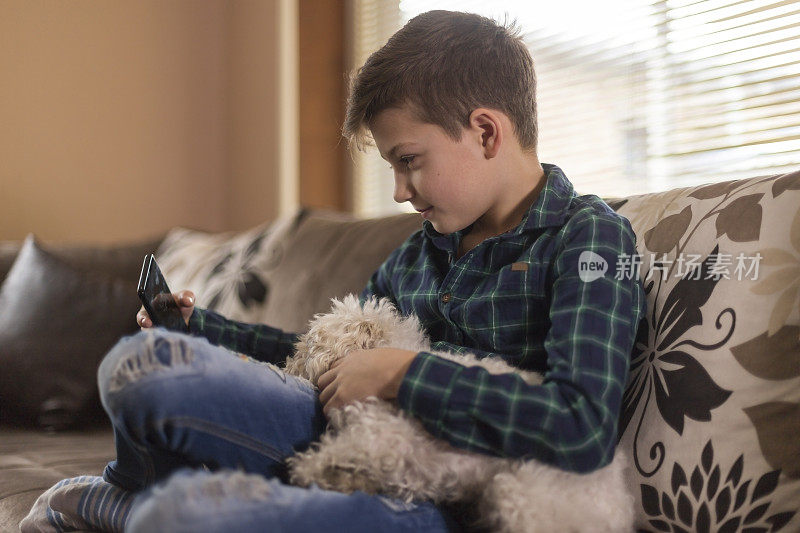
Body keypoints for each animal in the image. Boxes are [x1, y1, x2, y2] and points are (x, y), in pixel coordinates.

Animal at [284, 298, 636, 528]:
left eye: (308, 343)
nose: (288, 362)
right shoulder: (412, 468)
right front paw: (342, 476)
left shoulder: (385, 435)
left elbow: (344, 450)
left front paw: (310, 469)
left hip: (523, 493)